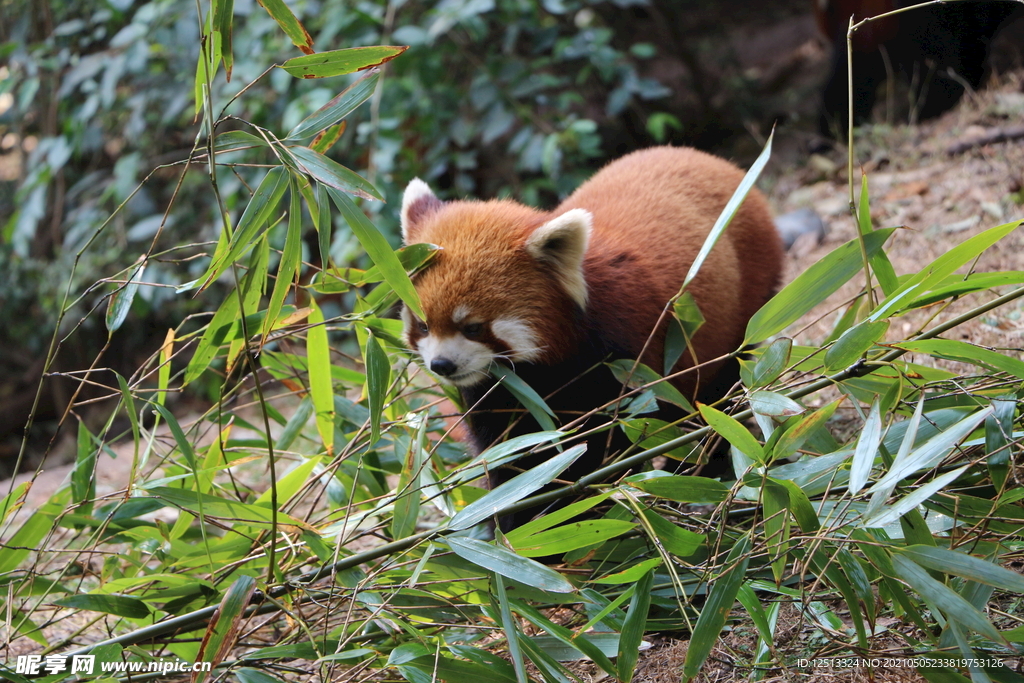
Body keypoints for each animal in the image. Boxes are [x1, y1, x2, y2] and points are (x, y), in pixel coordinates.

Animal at [399, 147, 782, 532]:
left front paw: (579, 513)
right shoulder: (499, 393)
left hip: (749, 306)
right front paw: (511, 524)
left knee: (718, 397)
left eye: (474, 327)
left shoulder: (623, 363)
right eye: (423, 325)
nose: (442, 365)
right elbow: (509, 458)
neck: (545, 371)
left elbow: (603, 450)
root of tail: (710, 160)